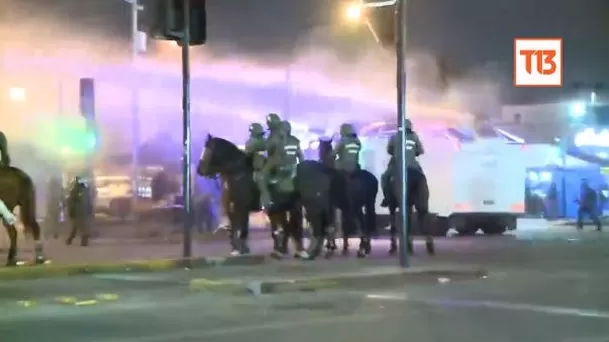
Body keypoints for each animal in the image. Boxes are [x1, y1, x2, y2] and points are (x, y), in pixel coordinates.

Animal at [197, 135, 332, 258]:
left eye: (208, 150)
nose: (199, 170)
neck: (238, 173)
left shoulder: (242, 208)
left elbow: (243, 229)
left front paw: (242, 250)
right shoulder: (234, 208)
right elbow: (236, 228)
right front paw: (238, 249)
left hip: (306, 207)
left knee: (312, 227)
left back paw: (308, 252)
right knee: (292, 227)